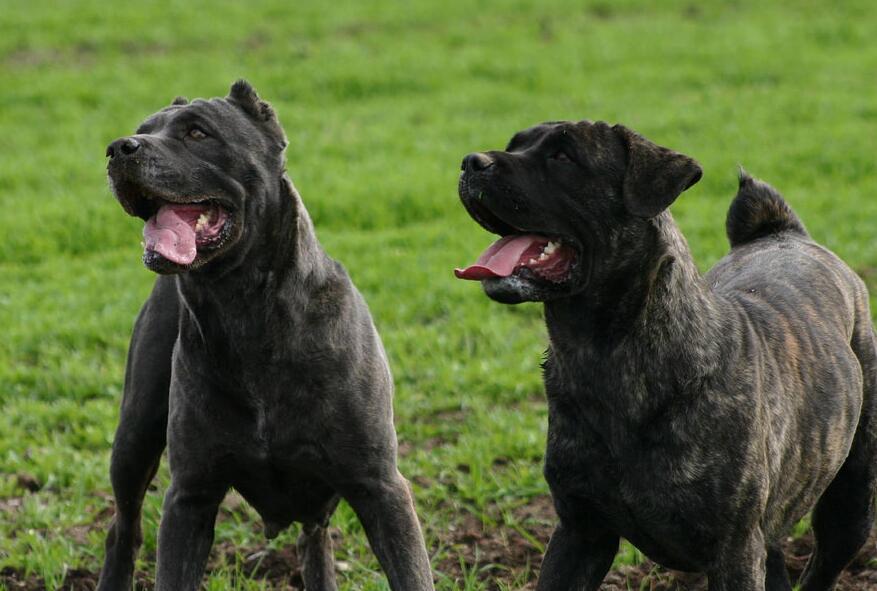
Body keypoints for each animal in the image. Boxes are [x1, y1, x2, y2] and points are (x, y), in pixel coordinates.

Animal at [98, 81, 434, 591]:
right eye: (143, 129)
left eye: (197, 132)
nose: (119, 148)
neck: (243, 310)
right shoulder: (190, 496)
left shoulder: (381, 487)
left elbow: (411, 573)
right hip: (134, 435)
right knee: (124, 528)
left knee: (314, 539)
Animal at [455, 120, 877, 590]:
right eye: (514, 145)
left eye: (563, 157)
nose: (471, 161)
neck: (602, 355)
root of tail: (785, 233)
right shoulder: (580, 532)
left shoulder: (733, 550)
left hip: (850, 501)